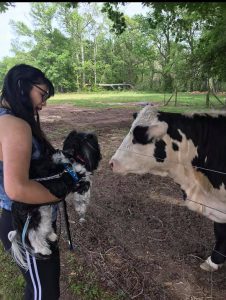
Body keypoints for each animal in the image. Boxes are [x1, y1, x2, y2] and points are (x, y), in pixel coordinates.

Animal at [7, 130, 101, 270]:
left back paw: (51, 235)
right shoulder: (78, 180)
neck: (73, 157)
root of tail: (15, 205)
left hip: (44, 212)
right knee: (33, 235)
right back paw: (43, 249)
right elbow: (84, 192)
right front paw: (81, 208)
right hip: (38, 216)